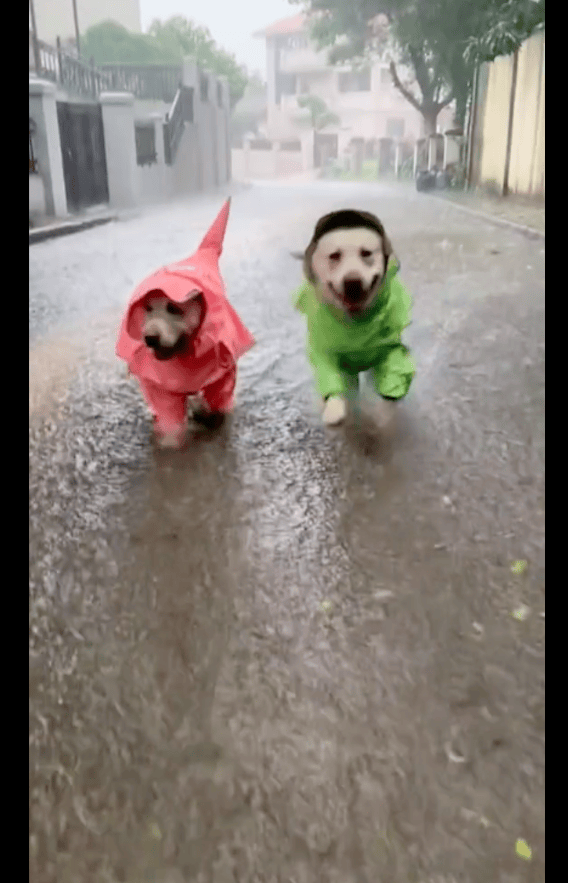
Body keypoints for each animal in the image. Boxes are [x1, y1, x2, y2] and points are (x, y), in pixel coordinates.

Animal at [116, 202, 254, 448]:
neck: (186, 351)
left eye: (173, 308)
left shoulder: (223, 377)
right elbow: (171, 428)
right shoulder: (162, 390)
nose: (149, 339)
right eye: (147, 308)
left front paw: (208, 415)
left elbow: (219, 408)